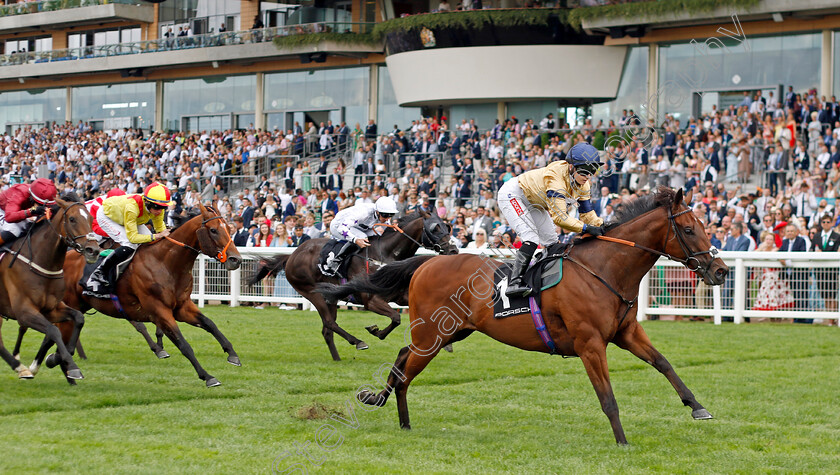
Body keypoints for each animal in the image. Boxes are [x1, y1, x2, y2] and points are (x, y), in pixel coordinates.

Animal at [0, 197, 99, 384]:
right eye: (72, 219)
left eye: (90, 218)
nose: (94, 250)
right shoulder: (24, 312)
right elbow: (53, 330)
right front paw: (71, 366)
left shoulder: (51, 308)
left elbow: (78, 318)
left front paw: (59, 358)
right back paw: (20, 367)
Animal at [32, 203, 241, 388]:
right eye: (213, 230)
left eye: (228, 227)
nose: (235, 259)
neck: (166, 263)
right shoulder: (159, 311)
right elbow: (183, 344)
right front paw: (208, 376)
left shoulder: (182, 307)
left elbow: (210, 324)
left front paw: (232, 354)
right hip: (69, 304)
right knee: (57, 332)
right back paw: (58, 363)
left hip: (77, 306)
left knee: (55, 334)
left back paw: (59, 367)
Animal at [248, 210, 456, 362]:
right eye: (435, 228)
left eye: (448, 226)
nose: (453, 249)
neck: (385, 254)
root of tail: (291, 255)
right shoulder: (370, 300)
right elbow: (396, 318)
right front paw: (376, 332)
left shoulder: (398, 295)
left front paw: (445, 340)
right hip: (313, 292)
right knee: (330, 323)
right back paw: (358, 342)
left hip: (330, 297)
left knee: (327, 330)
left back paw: (337, 359)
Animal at [320, 188, 728, 444]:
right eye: (689, 229)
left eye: (705, 226)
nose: (721, 271)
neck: (605, 269)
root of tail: (426, 263)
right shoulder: (590, 344)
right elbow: (608, 397)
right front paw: (623, 441)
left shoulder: (625, 333)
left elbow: (664, 363)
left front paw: (698, 407)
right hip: (431, 334)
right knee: (406, 363)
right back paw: (387, 405)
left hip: (449, 333)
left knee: (404, 358)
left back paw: (397, 416)